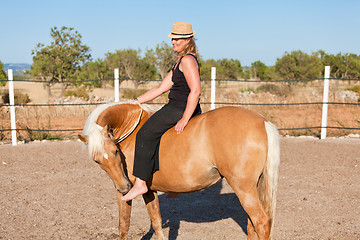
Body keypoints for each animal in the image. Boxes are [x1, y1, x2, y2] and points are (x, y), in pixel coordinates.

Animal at [79, 100, 282, 239]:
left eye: (115, 151)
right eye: (97, 160)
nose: (124, 187)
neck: (131, 132)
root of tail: (262, 122)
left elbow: (123, 226)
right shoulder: (149, 190)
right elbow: (157, 222)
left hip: (243, 188)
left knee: (261, 223)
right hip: (254, 187)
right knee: (252, 225)